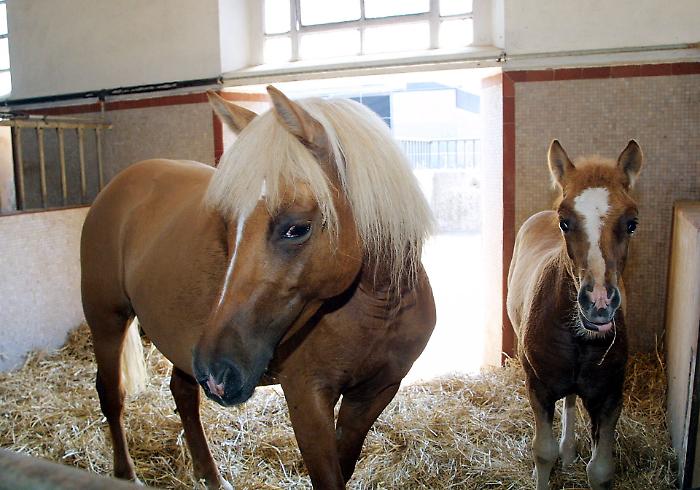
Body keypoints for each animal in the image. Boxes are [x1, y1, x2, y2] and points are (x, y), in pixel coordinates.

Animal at [80, 87, 436, 489]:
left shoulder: (376, 392)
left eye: (296, 228)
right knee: (111, 394)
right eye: (226, 225)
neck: (378, 306)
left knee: (183, 394)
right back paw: (125, 473)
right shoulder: (307, 398)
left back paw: (211, 475)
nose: (217, 370)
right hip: (107, 319)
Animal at [507, 140, 643, 489]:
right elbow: (543, 452)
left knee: (569, 401)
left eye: (632, 223)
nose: (598, 303)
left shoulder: (609, 396)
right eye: (564, 222)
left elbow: (601, 469)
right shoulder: (538, 387)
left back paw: (569, 451)